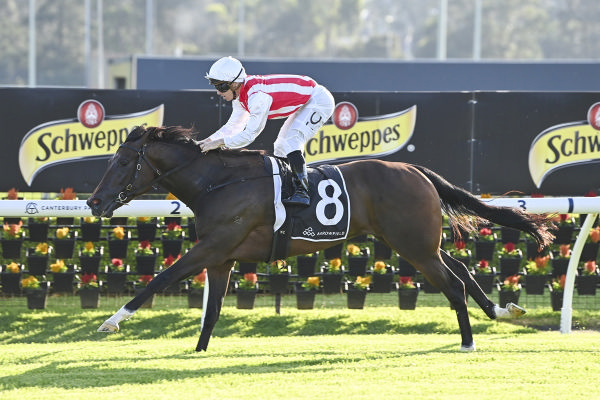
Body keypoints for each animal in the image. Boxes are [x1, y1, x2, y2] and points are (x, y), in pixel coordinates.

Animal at [88, 125, 552, 350]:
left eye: (124, 161)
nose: (94, 201)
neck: (218, 182)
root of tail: (417, 171)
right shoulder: (221, 257)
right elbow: (212, 311)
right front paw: (199, 351)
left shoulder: (213, 246)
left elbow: (161, 278)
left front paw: (111, 322)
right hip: (418, 243)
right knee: (461, 271)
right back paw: (501, 310)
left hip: (413, 245)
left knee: (454, 284)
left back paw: (468, 342)